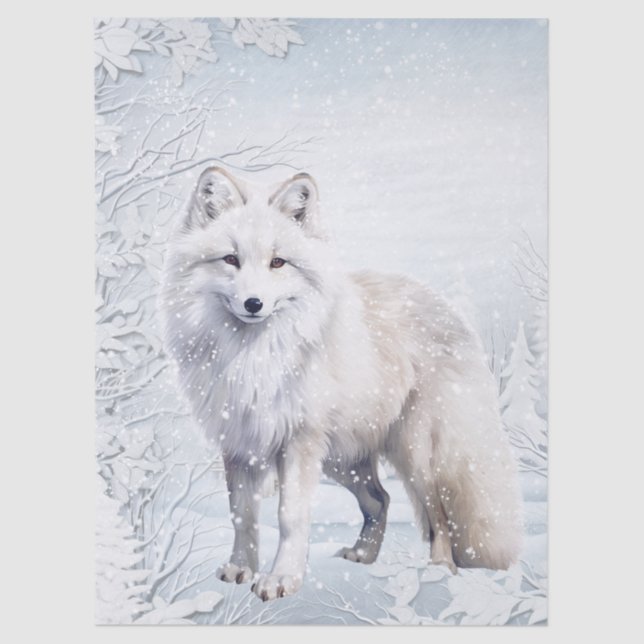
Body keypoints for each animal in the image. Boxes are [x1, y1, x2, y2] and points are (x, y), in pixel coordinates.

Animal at [160, 167, 522, 601]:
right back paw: (364, 555)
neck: (254, 358)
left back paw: (439, 569)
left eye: (278, 262)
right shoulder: (240, 444)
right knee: (381, 500)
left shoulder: (298, 442)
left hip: (415, 455)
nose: (253, 304)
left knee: (438, 514)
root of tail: (447, 308)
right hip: (343, 462)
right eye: (231, 259)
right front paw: (241, 568)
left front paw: (282, 578)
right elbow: (242, 515)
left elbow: (290, 516)